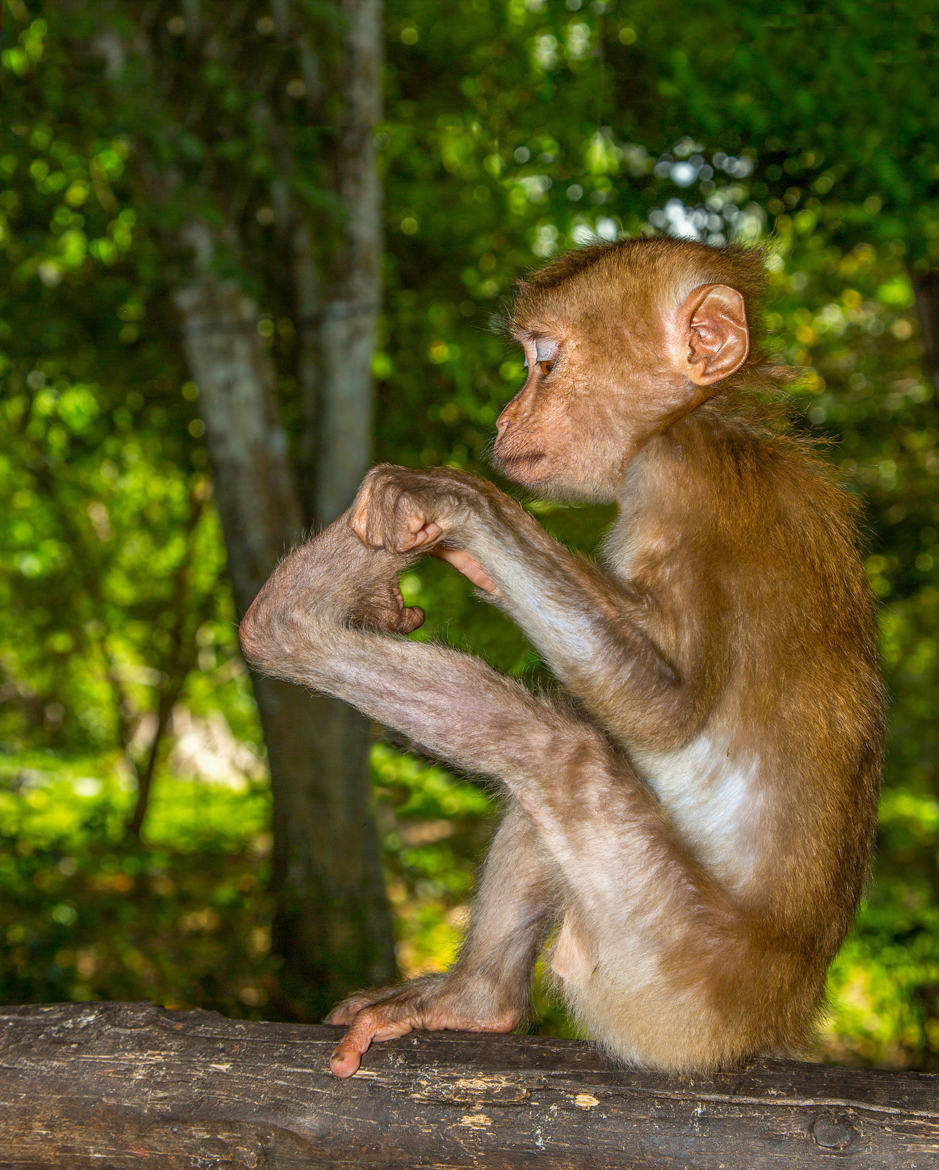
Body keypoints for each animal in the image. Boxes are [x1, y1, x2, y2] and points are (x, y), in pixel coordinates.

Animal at [238, 235, 884, 1076]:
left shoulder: (679, 472)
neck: (703, 415)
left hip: (670, 981)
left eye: (541, 363)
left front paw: (456, 502)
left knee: (562, 748)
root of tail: (768, 1021)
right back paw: (478, 1000)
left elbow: (663, 709)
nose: (505, 415)